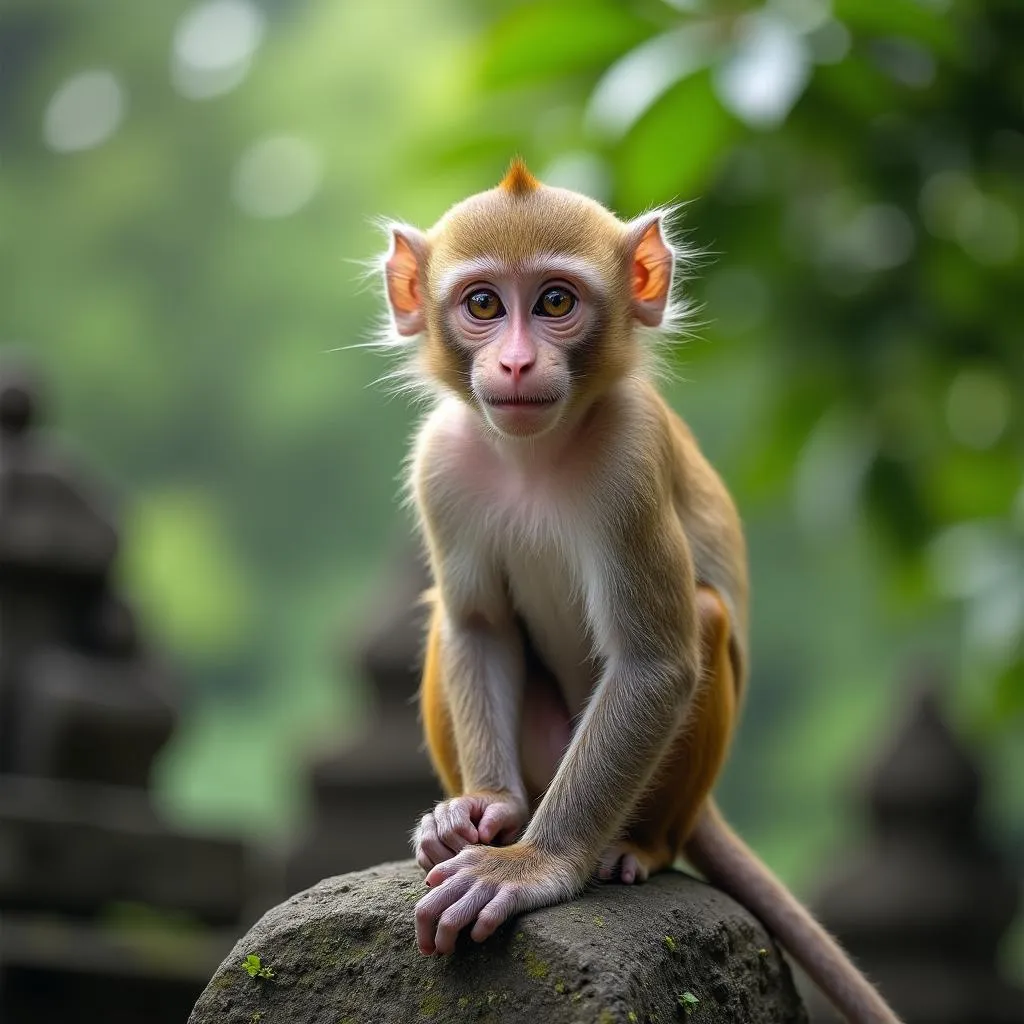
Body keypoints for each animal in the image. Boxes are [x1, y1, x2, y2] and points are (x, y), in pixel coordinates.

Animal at [380, 159, 901, 1024]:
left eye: (555, 303)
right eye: (483, 305)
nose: (515, 365)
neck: (534, 455)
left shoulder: (631, 458)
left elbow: (656, 664)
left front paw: (530, 864)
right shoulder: (440, 461)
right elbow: (478, 625)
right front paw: (484, 812)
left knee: (702, 617)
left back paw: (635, 847)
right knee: (443, 622)